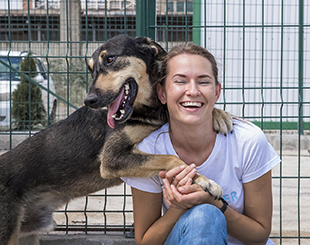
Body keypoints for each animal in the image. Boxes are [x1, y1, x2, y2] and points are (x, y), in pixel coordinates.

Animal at [0, 35, 232, 245]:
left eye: (110, 59)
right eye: (91, 69)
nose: (89, 100)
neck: (147, 110)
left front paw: (220, 116)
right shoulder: (112, 158)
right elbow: (170, 158)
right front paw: (205, 181)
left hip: (27, 236)